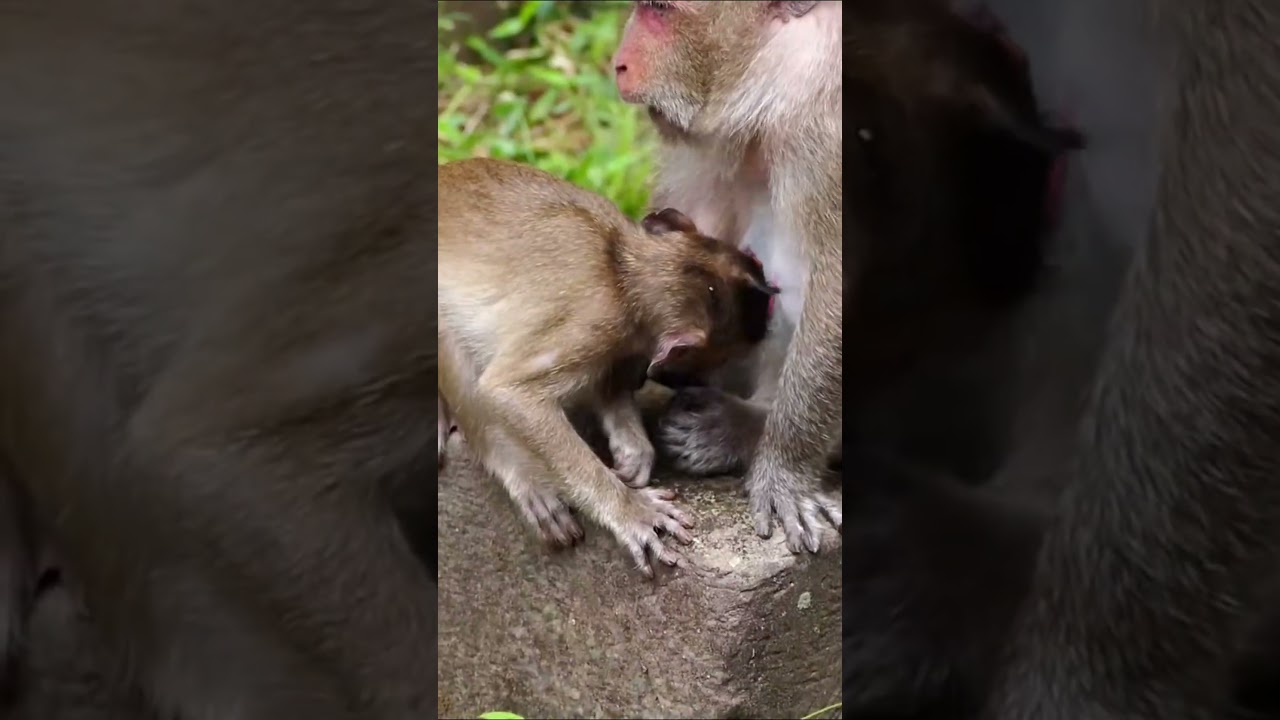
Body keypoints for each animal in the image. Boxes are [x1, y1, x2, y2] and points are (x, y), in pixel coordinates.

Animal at [437, 157, 777, 577]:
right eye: (723, 356)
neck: (621, 267)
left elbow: (609, 379)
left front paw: (634, 452)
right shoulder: (600, 323)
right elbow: (510, 392)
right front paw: (629, 509)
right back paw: (522, 474)